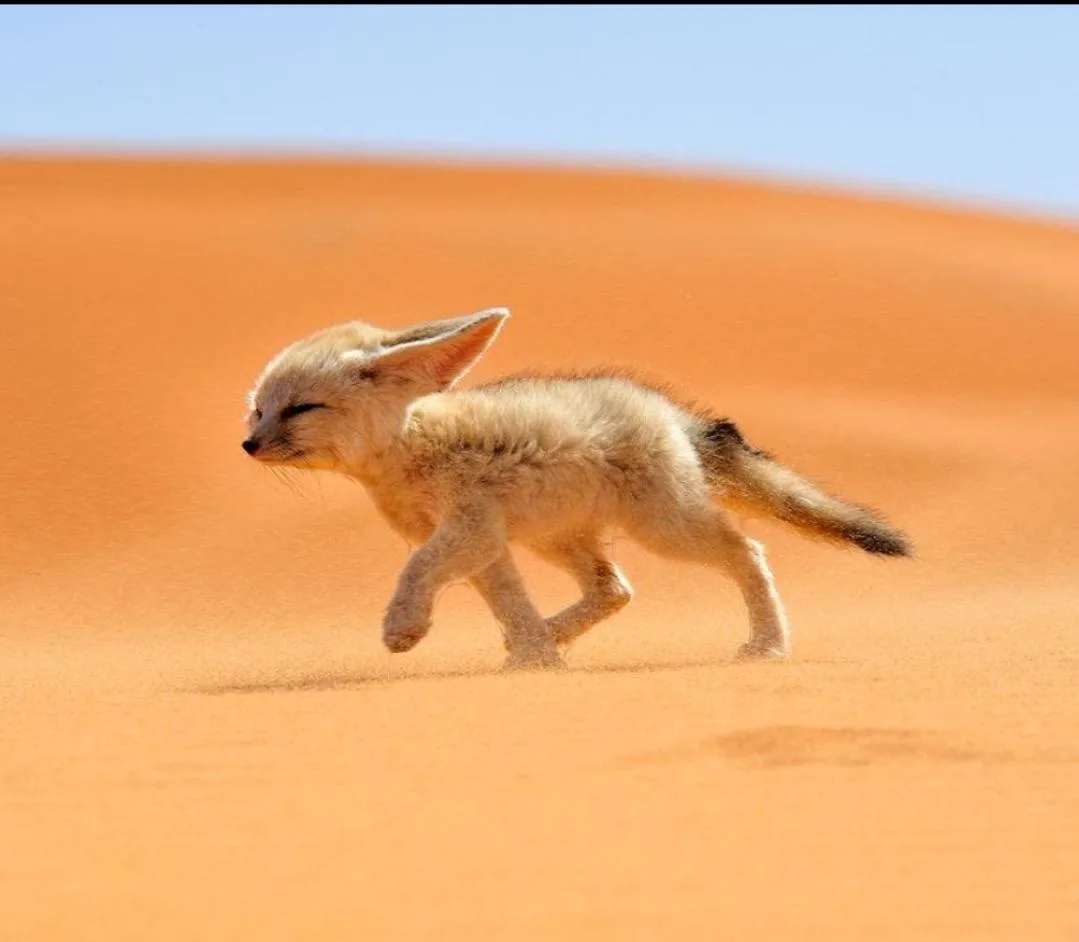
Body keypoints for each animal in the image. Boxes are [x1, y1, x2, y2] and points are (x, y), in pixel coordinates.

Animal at [242, 307, 911, 670]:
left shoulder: (466, 529)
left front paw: (404, 628)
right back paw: (552, 634)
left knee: (747, 551)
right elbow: (507, 602)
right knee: (615, 589)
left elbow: (417, 571)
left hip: (666, 529)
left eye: (300, 409)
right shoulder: (486, 543)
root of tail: (669, 411)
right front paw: (536, 657)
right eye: (258, 410)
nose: (248, 445)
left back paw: (769, 644)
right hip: (558, 538)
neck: (411, 448)